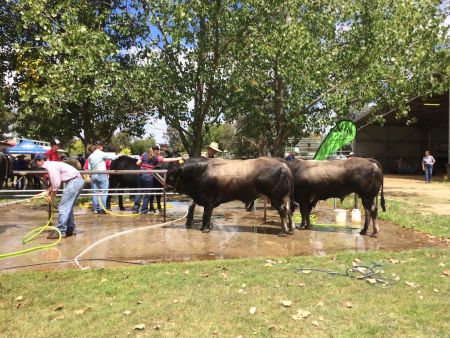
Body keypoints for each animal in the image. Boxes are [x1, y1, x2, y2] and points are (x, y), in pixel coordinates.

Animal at [165, 156, 296, 234]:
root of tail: (284, 165)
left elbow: (206, 215)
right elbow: (206, 216)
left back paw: (284, 231)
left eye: (171, 175)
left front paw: (205, 229)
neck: (200, 172)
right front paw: (206, 227)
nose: (165, 186)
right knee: (289, 210)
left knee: (282, 211)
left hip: (276, 198)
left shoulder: (208, 201)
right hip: (285, 197)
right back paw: (291, 229)